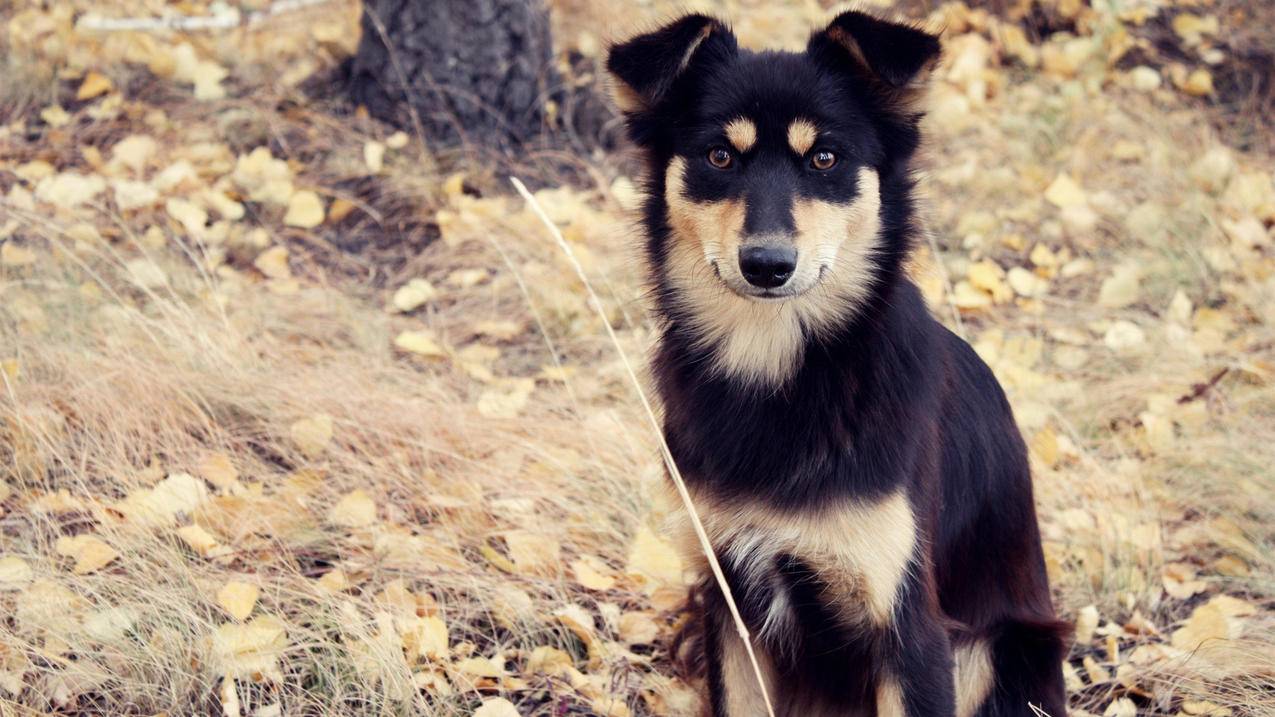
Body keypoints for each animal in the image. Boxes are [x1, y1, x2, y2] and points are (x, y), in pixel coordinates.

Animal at [606, 11, 1065, 714]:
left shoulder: (911, 629)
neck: (779, 368)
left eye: (824, 158)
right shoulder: (729, 606)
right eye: (719, 156)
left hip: (999, 648)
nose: (767, 264)